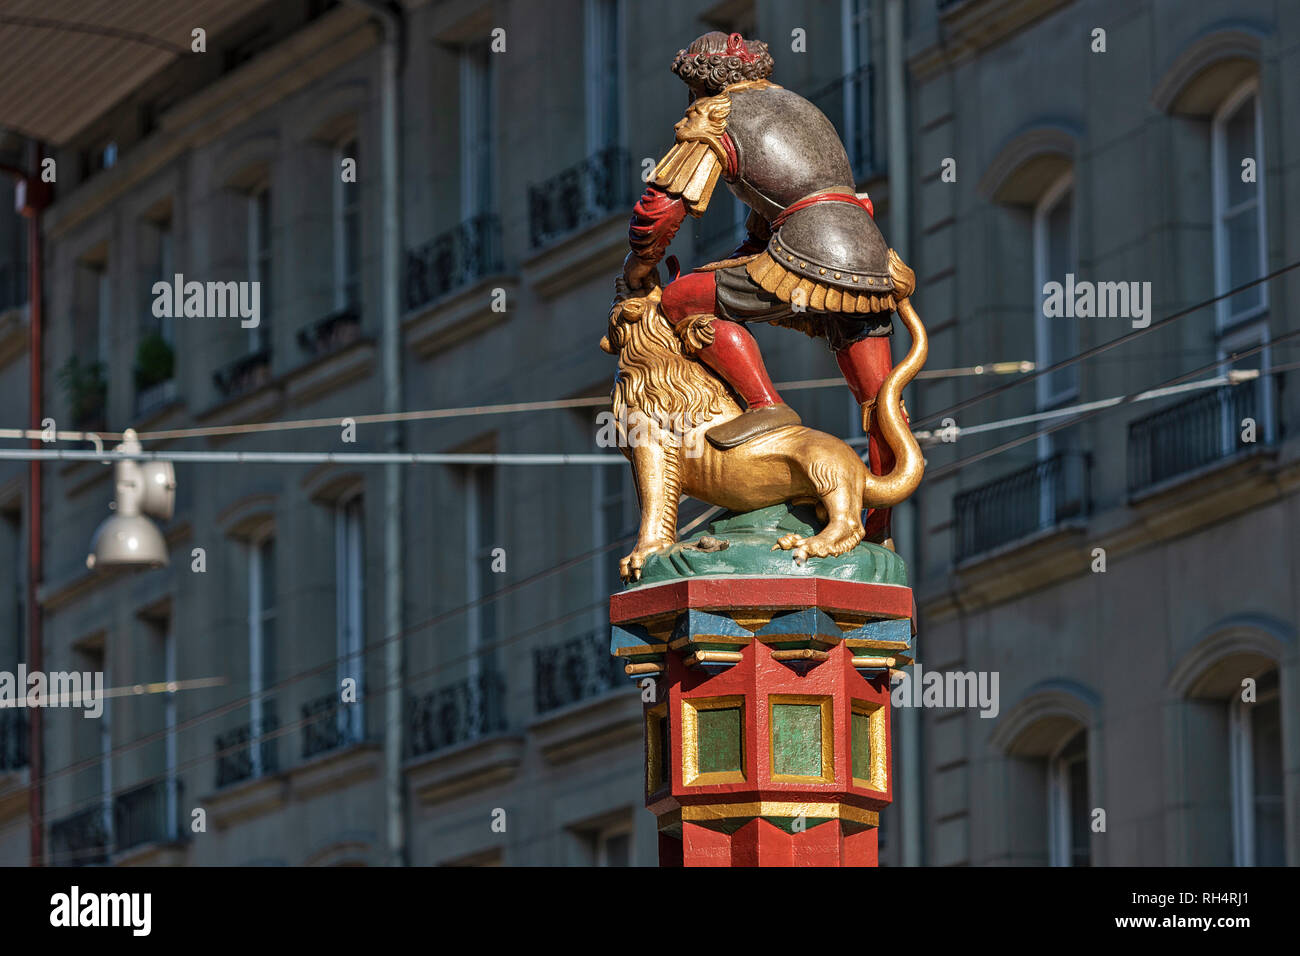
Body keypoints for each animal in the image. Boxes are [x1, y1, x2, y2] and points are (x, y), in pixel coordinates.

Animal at [603, 248, 930, 582]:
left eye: (627, 294)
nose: (628, 275)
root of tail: (863, 475)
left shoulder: (651, 443)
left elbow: (655, 501)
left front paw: (641, 556)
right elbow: (655, 501)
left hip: (824, 466)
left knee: (849, 523)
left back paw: (808, 545)